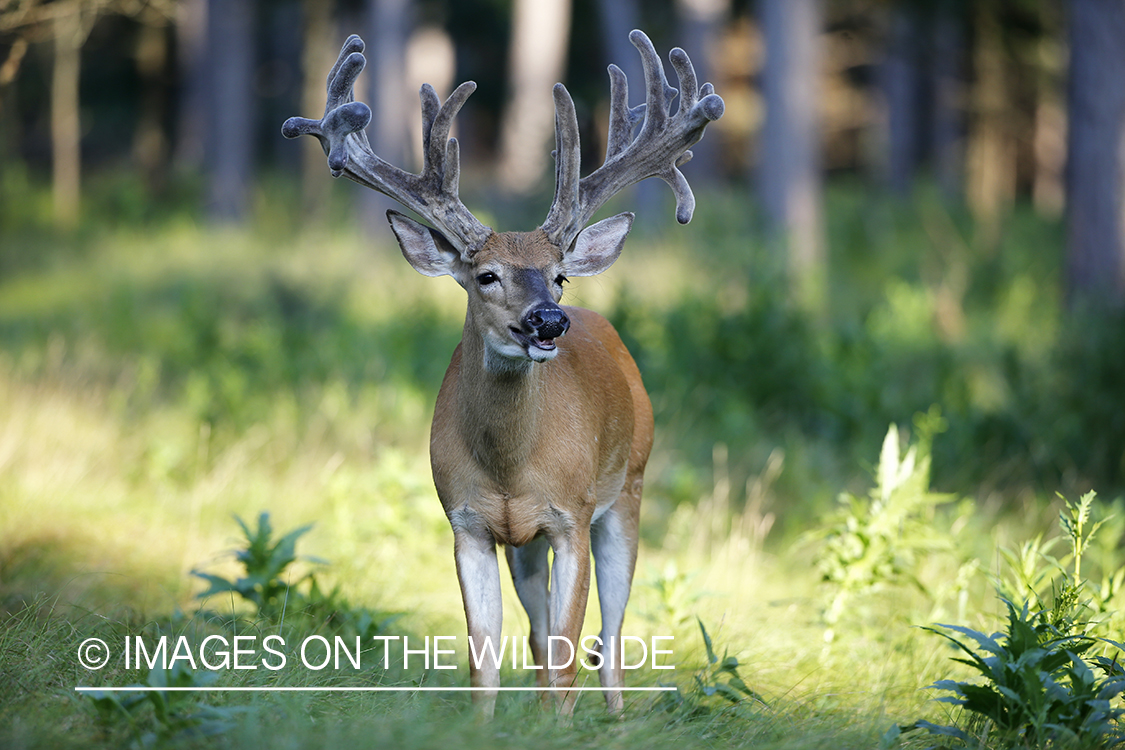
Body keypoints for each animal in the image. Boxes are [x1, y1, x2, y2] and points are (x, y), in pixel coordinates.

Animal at [281, 30, 720, 719]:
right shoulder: (466, 522)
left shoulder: (571, 515)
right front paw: (487, 726)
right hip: (529, 545)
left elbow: (570, 654)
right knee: (541, 637)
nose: (548, 320)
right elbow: (485, 659)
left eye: (559, 275)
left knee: (611, 636)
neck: (512, 465)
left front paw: (558, 725)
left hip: (629, 488)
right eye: (485, 274)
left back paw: (617, 720)